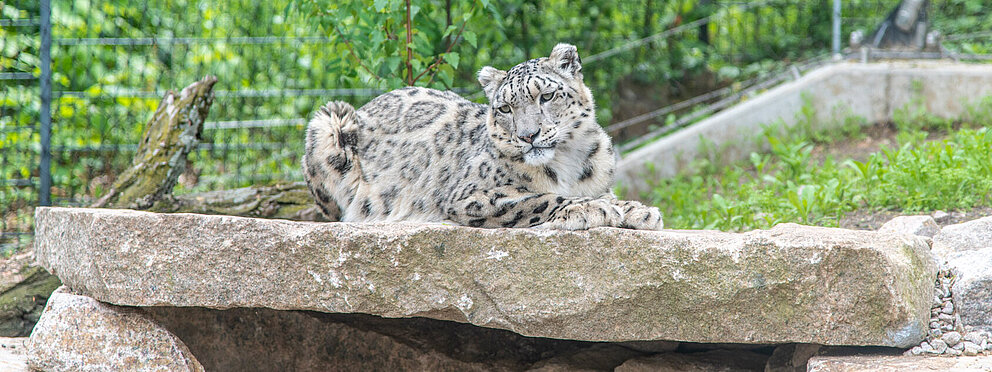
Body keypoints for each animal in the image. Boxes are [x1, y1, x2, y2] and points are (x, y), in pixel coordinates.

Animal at [298, 42, 664, 230]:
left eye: (546, 96)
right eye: (505, 108)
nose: (529, 135)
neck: (568, 160)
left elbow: (609, 195)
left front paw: (639, 210)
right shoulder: (470, 196)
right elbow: (540, 198)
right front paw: (591, 209)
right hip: (328, 123)